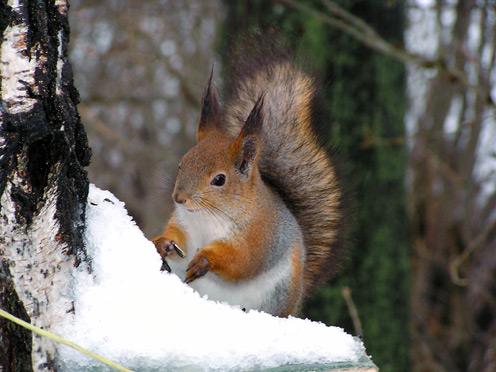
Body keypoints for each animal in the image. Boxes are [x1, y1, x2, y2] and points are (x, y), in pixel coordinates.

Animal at [152, 41, 344, 320]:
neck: (207, 218)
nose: (179, 198)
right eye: (181, 164)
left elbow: (241, 259)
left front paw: (205, 260)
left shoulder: (260, 234)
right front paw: (162, 243)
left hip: (277, 295)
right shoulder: (184, 223)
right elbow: (177, 236)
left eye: (219, 179)